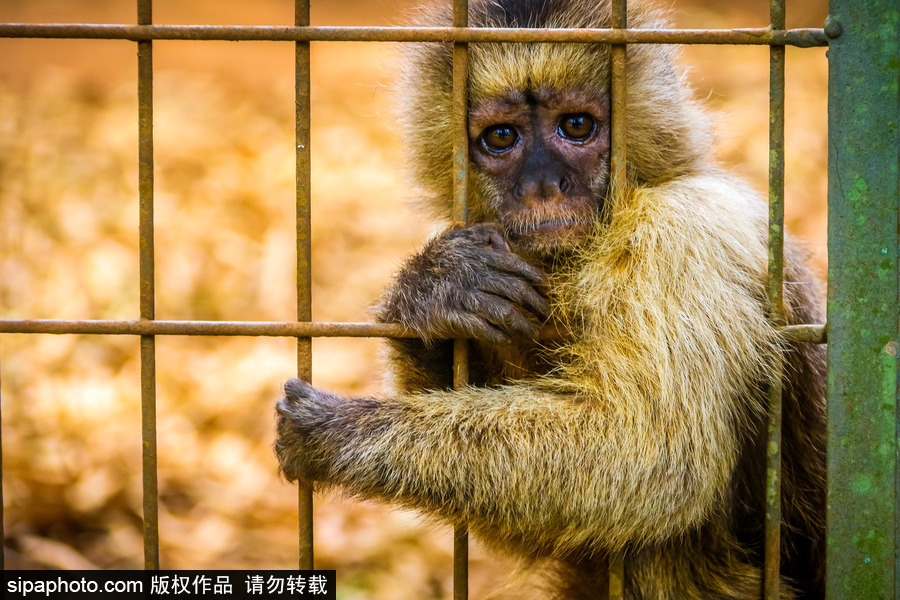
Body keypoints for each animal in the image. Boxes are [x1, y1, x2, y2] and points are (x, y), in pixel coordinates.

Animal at [276, 0, 828, 596]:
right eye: (501, 137)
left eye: (577, 126)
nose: (542, 185)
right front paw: (437, 290)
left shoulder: (685, 229)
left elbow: (653, 462)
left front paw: (337, 435)